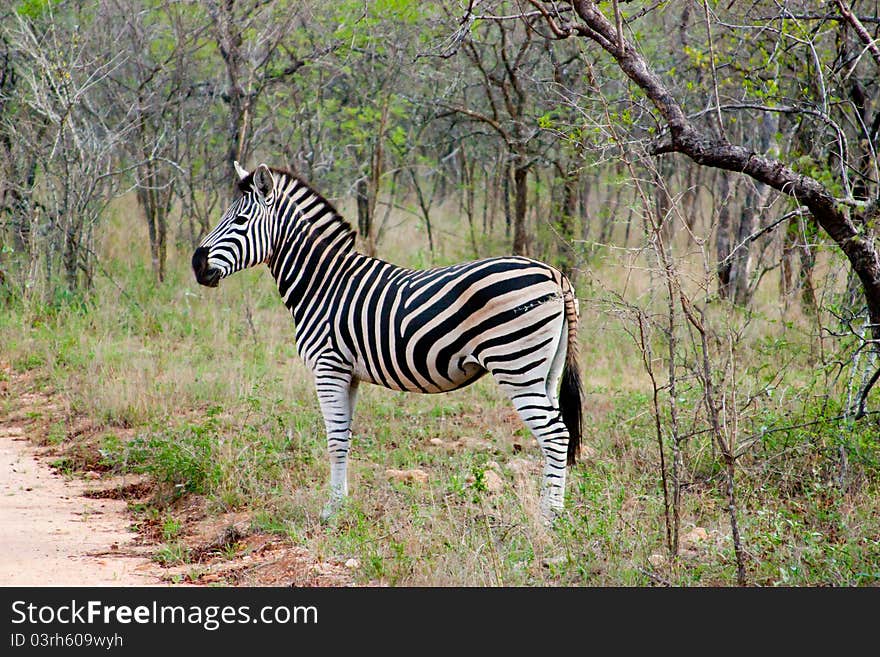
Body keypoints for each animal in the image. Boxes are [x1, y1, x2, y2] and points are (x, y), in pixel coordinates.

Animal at [194, 164, 584, 524]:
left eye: (240, 220)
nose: (197, 264)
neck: (322, 283)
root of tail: (555, 273)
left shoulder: (327, 366)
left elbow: (334, 439)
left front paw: (331, 511)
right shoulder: (348, 373)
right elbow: (345, 438)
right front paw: (342, 503)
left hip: (516, 364)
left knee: (555, 435)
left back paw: (550, 518)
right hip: (545, 370)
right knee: (558, 433)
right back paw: (553, 510)